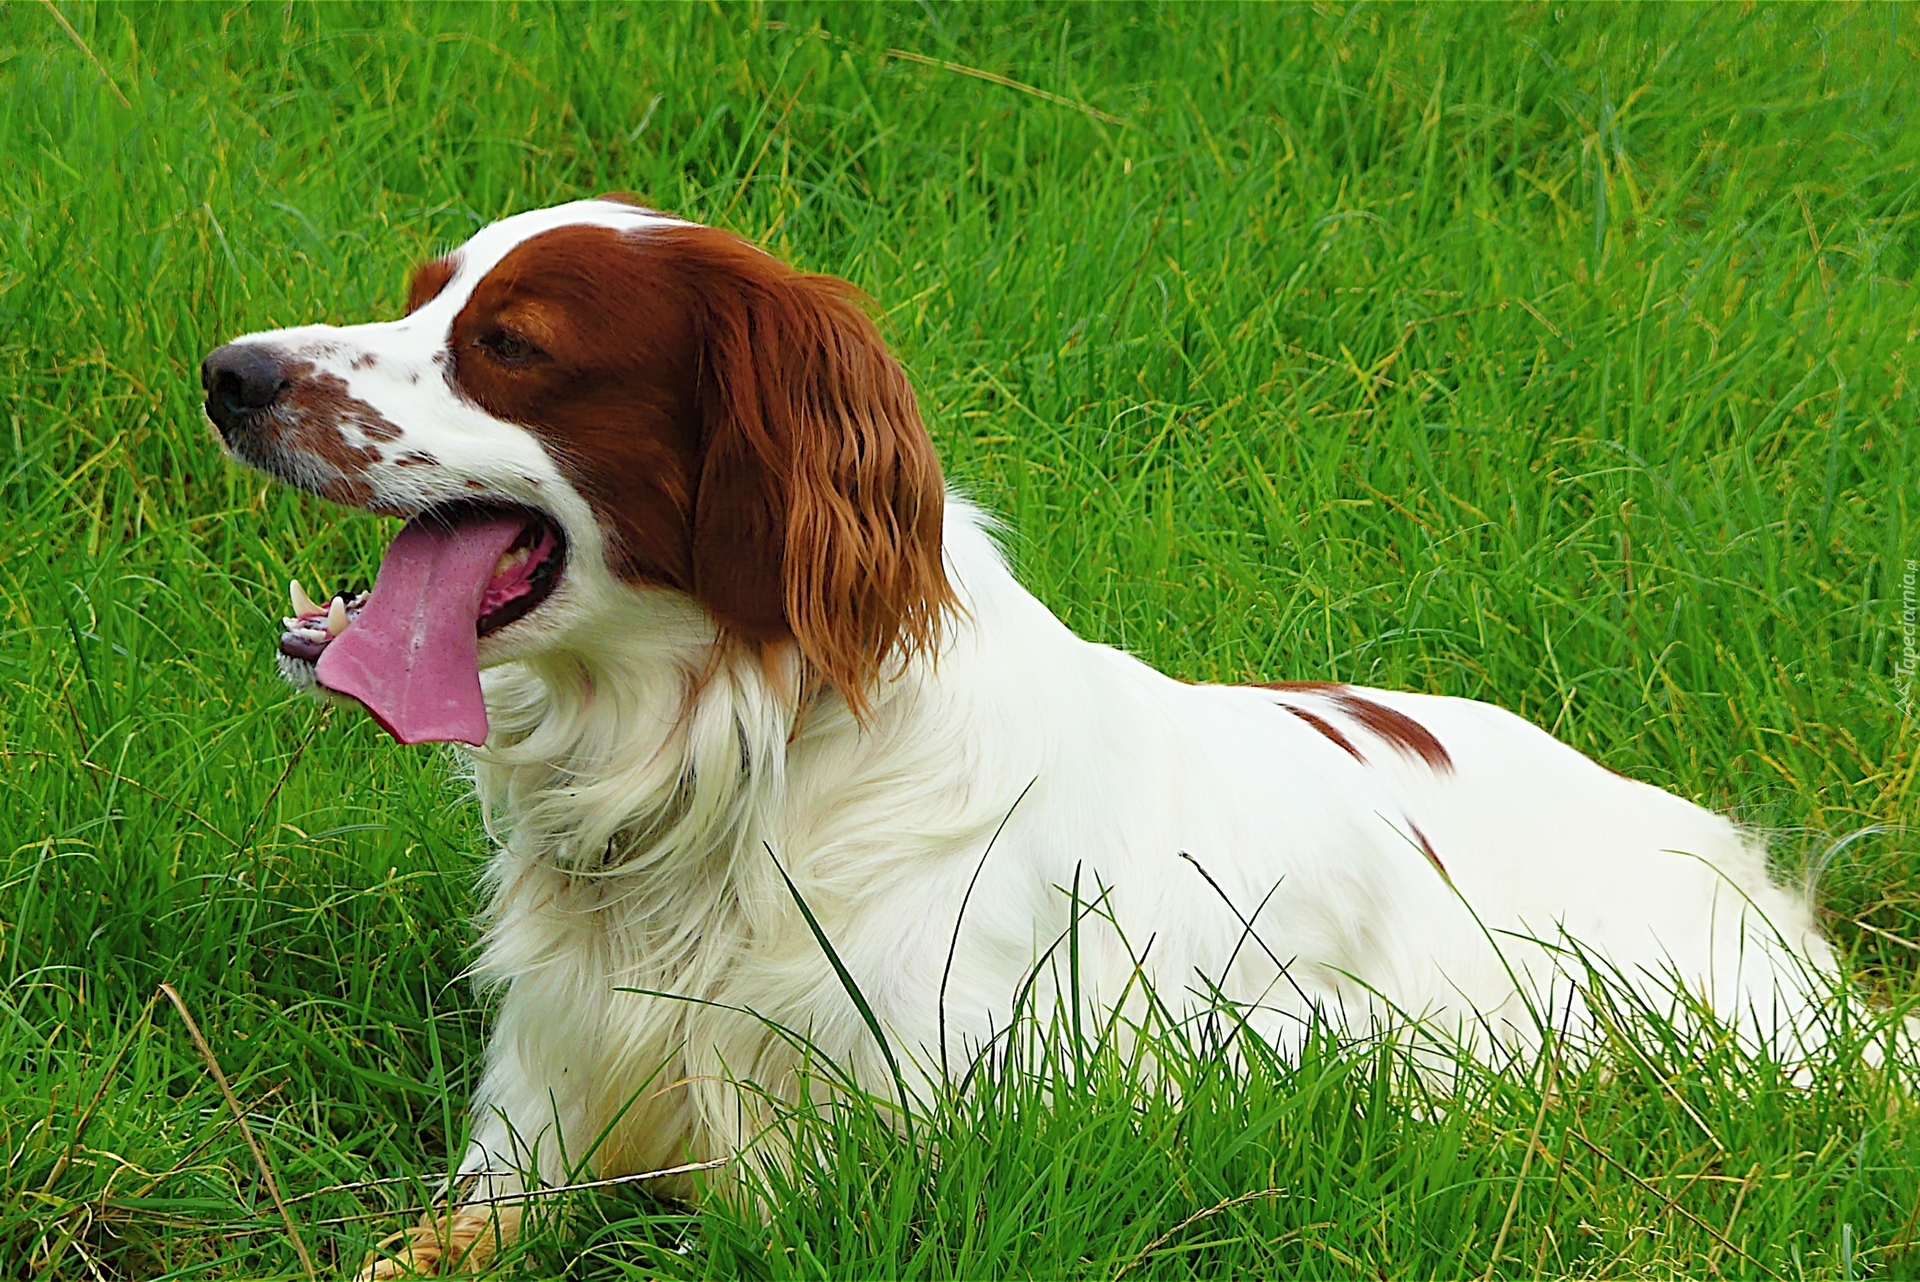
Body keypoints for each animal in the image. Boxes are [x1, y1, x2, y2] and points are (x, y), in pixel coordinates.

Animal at [202, 197, 1850, 1274]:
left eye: (510, 345)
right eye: (418, 294)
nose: (230, 373)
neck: (735, 777)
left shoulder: (862, 1166)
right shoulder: (530, 1135)